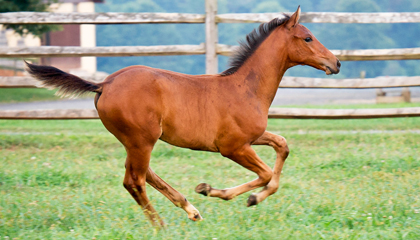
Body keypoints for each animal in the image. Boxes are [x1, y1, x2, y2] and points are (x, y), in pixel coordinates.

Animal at [25, 6, 342, 226]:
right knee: (134, 180)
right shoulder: (233, 147)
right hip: (142, 140)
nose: (336, 63)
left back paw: (191, 211)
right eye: (308, 37)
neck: (245, 88)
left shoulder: (253, 137)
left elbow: (282, 147)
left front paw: (235, 194)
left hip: (136, 141)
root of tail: (104, 84)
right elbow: (265, 174)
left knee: (143, 174)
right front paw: (221, 192)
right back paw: (161, 226)